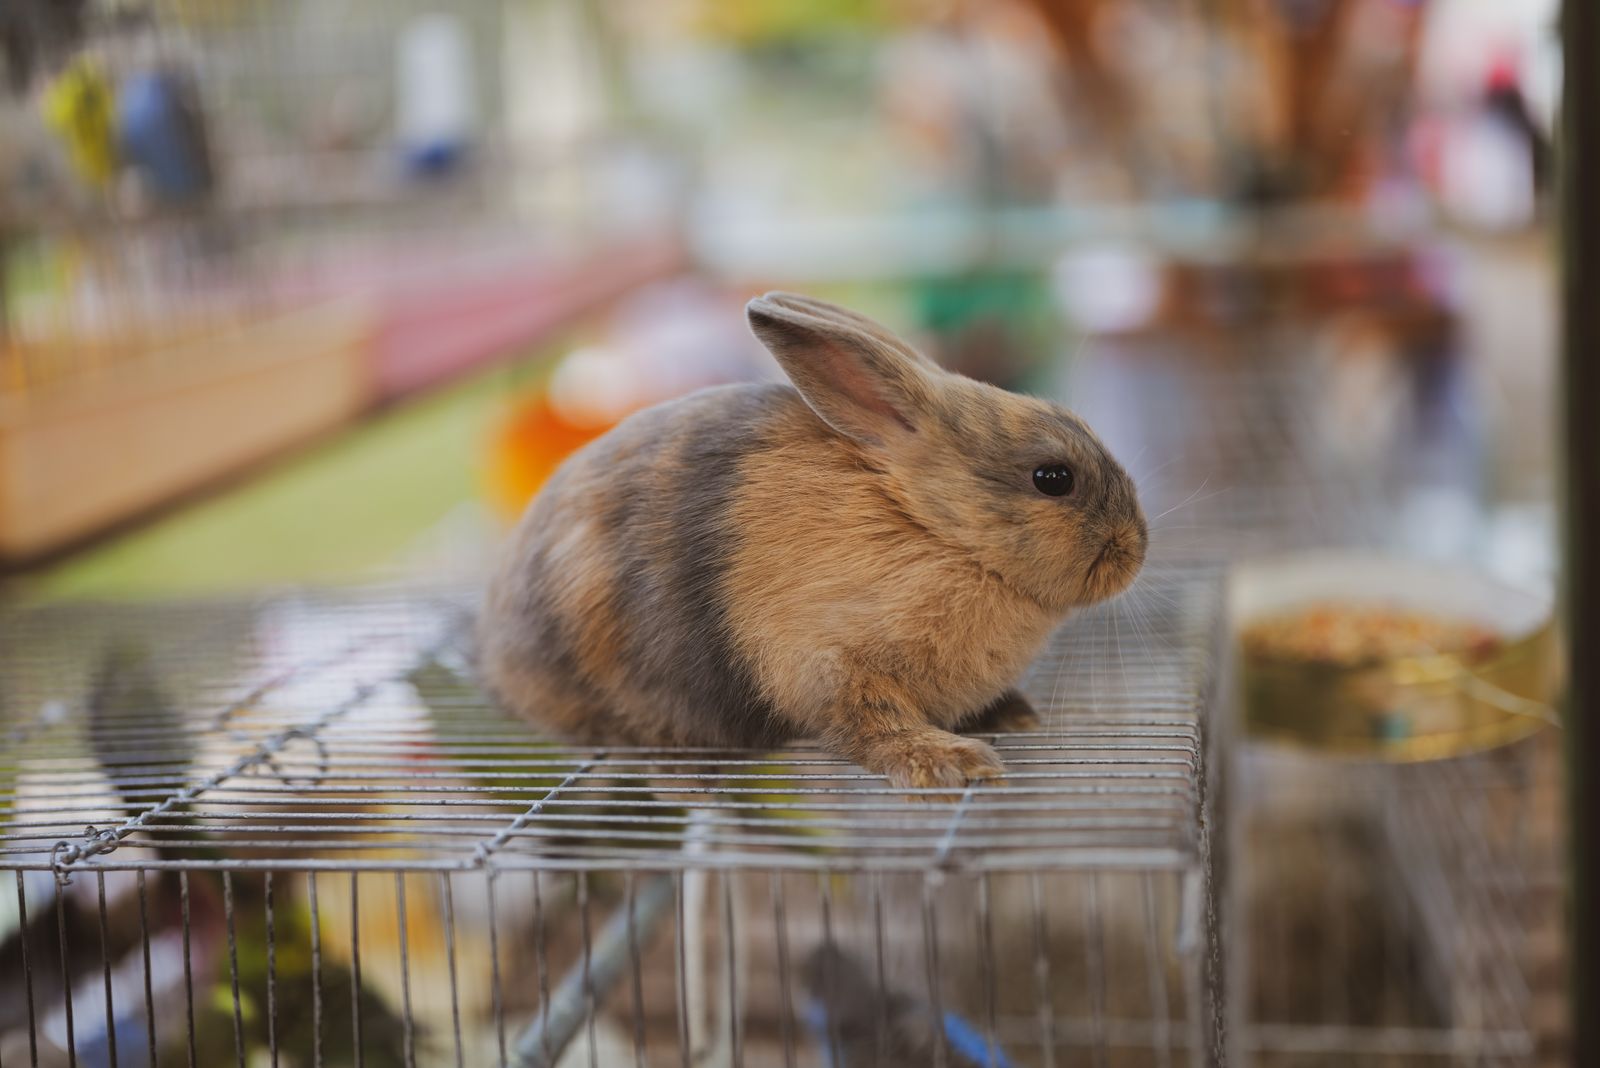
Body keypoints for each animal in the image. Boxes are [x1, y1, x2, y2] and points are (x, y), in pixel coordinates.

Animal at [479, 292, 1146, 791]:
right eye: (1052, 478)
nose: (1135, 550)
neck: (929, 527)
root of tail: (497, 653)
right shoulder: (831, 664)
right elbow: (871, 725)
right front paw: (951, 763)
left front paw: (1014, 714)